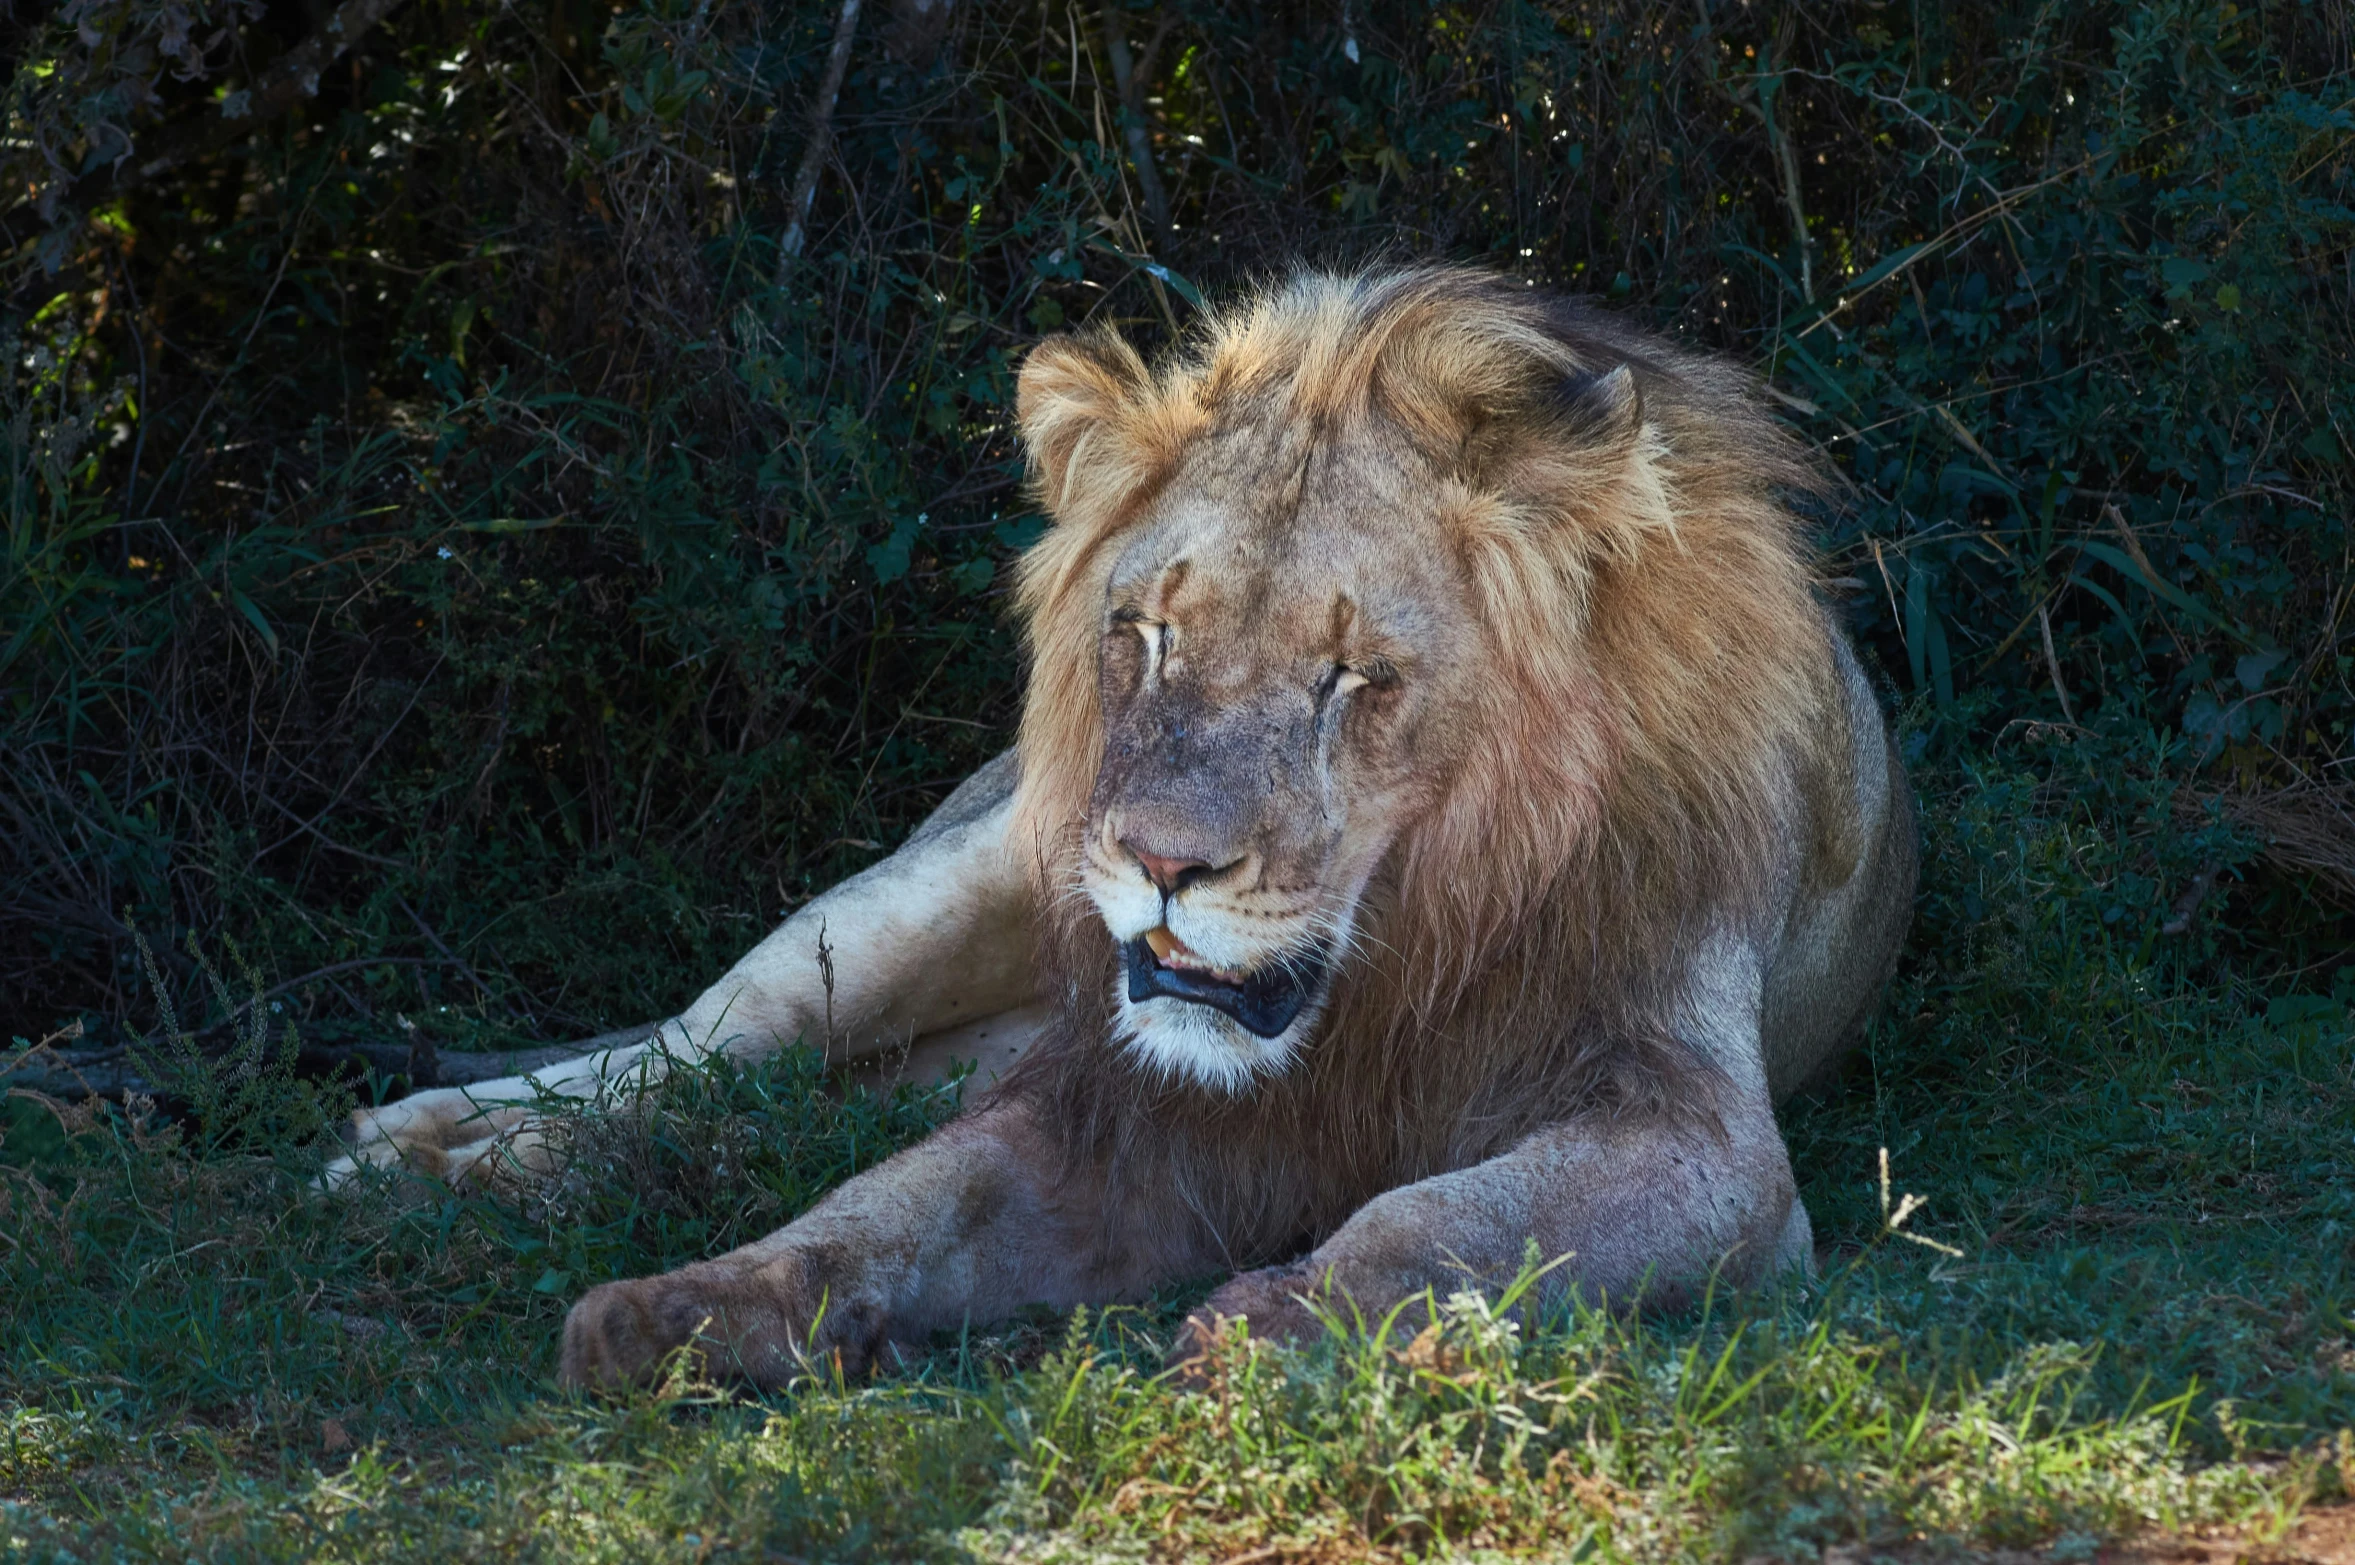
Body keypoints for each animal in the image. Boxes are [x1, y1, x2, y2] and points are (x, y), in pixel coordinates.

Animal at [327, 265, 1912, 1383]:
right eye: (1145, 634)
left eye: (1354, 676)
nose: (1157, 864)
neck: (1401, 955)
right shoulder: (1118, 1111)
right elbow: (889, 1207)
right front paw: (683, 1307)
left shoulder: (1699, 1130)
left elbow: (1437, 1222)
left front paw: (1279, 1324)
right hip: (931, 889)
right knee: (692, 1053)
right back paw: (424, 1154)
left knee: (785, 1101)